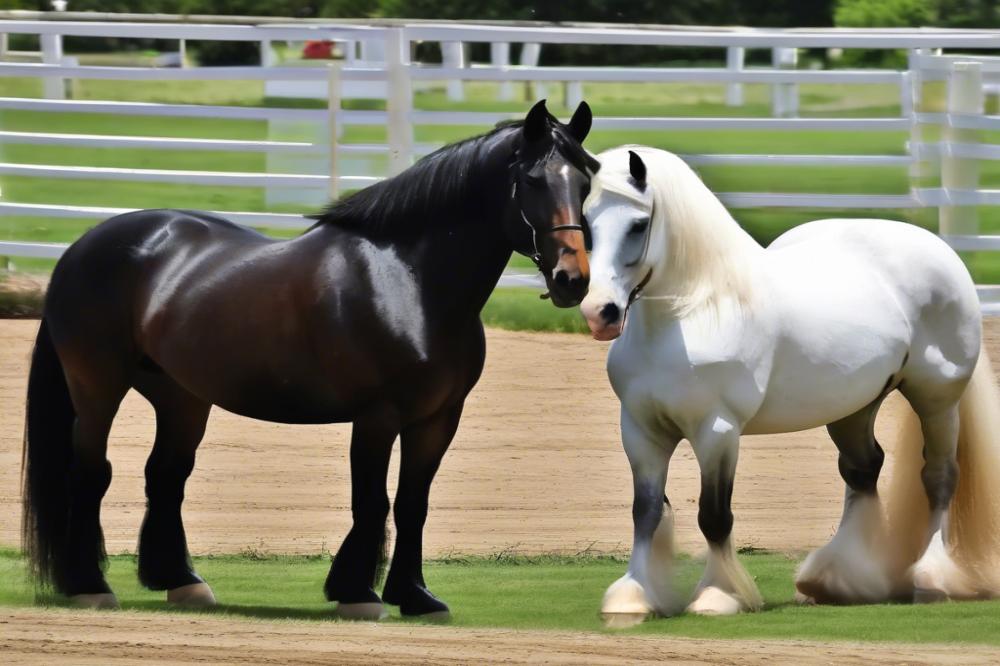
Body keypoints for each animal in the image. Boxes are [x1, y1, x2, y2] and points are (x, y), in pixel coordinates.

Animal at [23, 98, 596, 616]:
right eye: (533, 181)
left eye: (586, 181)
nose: (572, 279)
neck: (410, 283)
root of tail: (84, 246)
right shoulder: (377, 416)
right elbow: (373, 501)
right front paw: (358, 592)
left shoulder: (437, 418)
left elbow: (413, 503)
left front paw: (415, 596)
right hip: (96, 385)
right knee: (91, 472)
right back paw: (90, 587)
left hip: (181, 396)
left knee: (166, 474)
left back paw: (182, 582)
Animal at [576, 144, 1000, 624]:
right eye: (586, 221)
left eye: (638, 224)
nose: (600, 312)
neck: (695, 310)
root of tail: (941, 250)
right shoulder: (641, 431)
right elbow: (645, 511)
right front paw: (632, 597)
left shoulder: (717, 431)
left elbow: (714, 516)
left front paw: (718, 595)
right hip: (853, 408)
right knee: (863, 470)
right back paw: (835, 578)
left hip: (937, 399)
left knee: (939, 476)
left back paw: (930, 577)